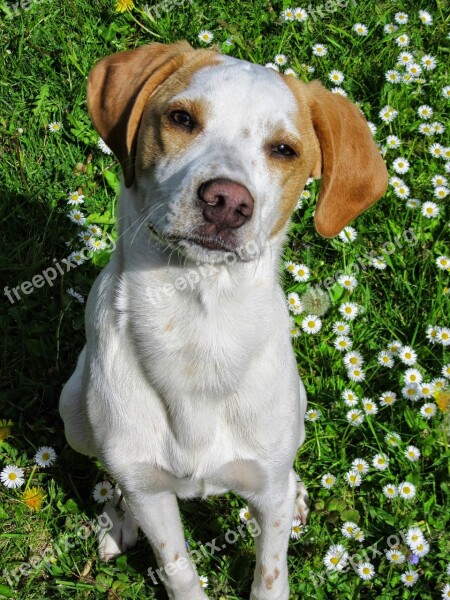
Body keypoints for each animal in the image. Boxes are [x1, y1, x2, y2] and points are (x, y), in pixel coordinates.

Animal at [59, 39, 388, 596]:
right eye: (181, 118)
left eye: (284, 150)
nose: (227, 201)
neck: (198, 330)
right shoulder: (152, 497)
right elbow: (177, 569)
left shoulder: (266, 492)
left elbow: (270, 574)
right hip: (74, 414)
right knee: (108, 473)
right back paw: (116, 517)